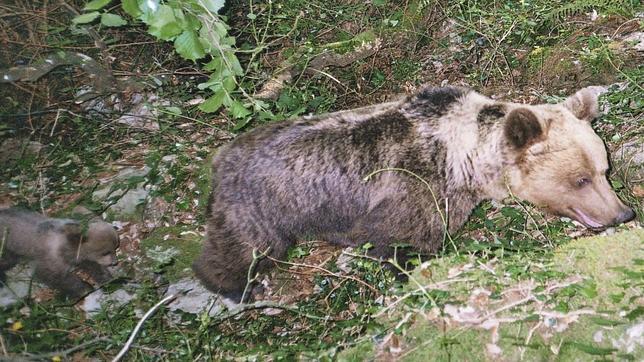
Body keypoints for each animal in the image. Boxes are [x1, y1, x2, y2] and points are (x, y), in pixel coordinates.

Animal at [191, 85, 632, 300]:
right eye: (580, 179)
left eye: (604, 170)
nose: (623, 213)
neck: (465, 158)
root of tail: (220, 157)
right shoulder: (415, 187)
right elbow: (404, 242)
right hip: (261, 205)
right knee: (244, 247)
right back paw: (239, 286)